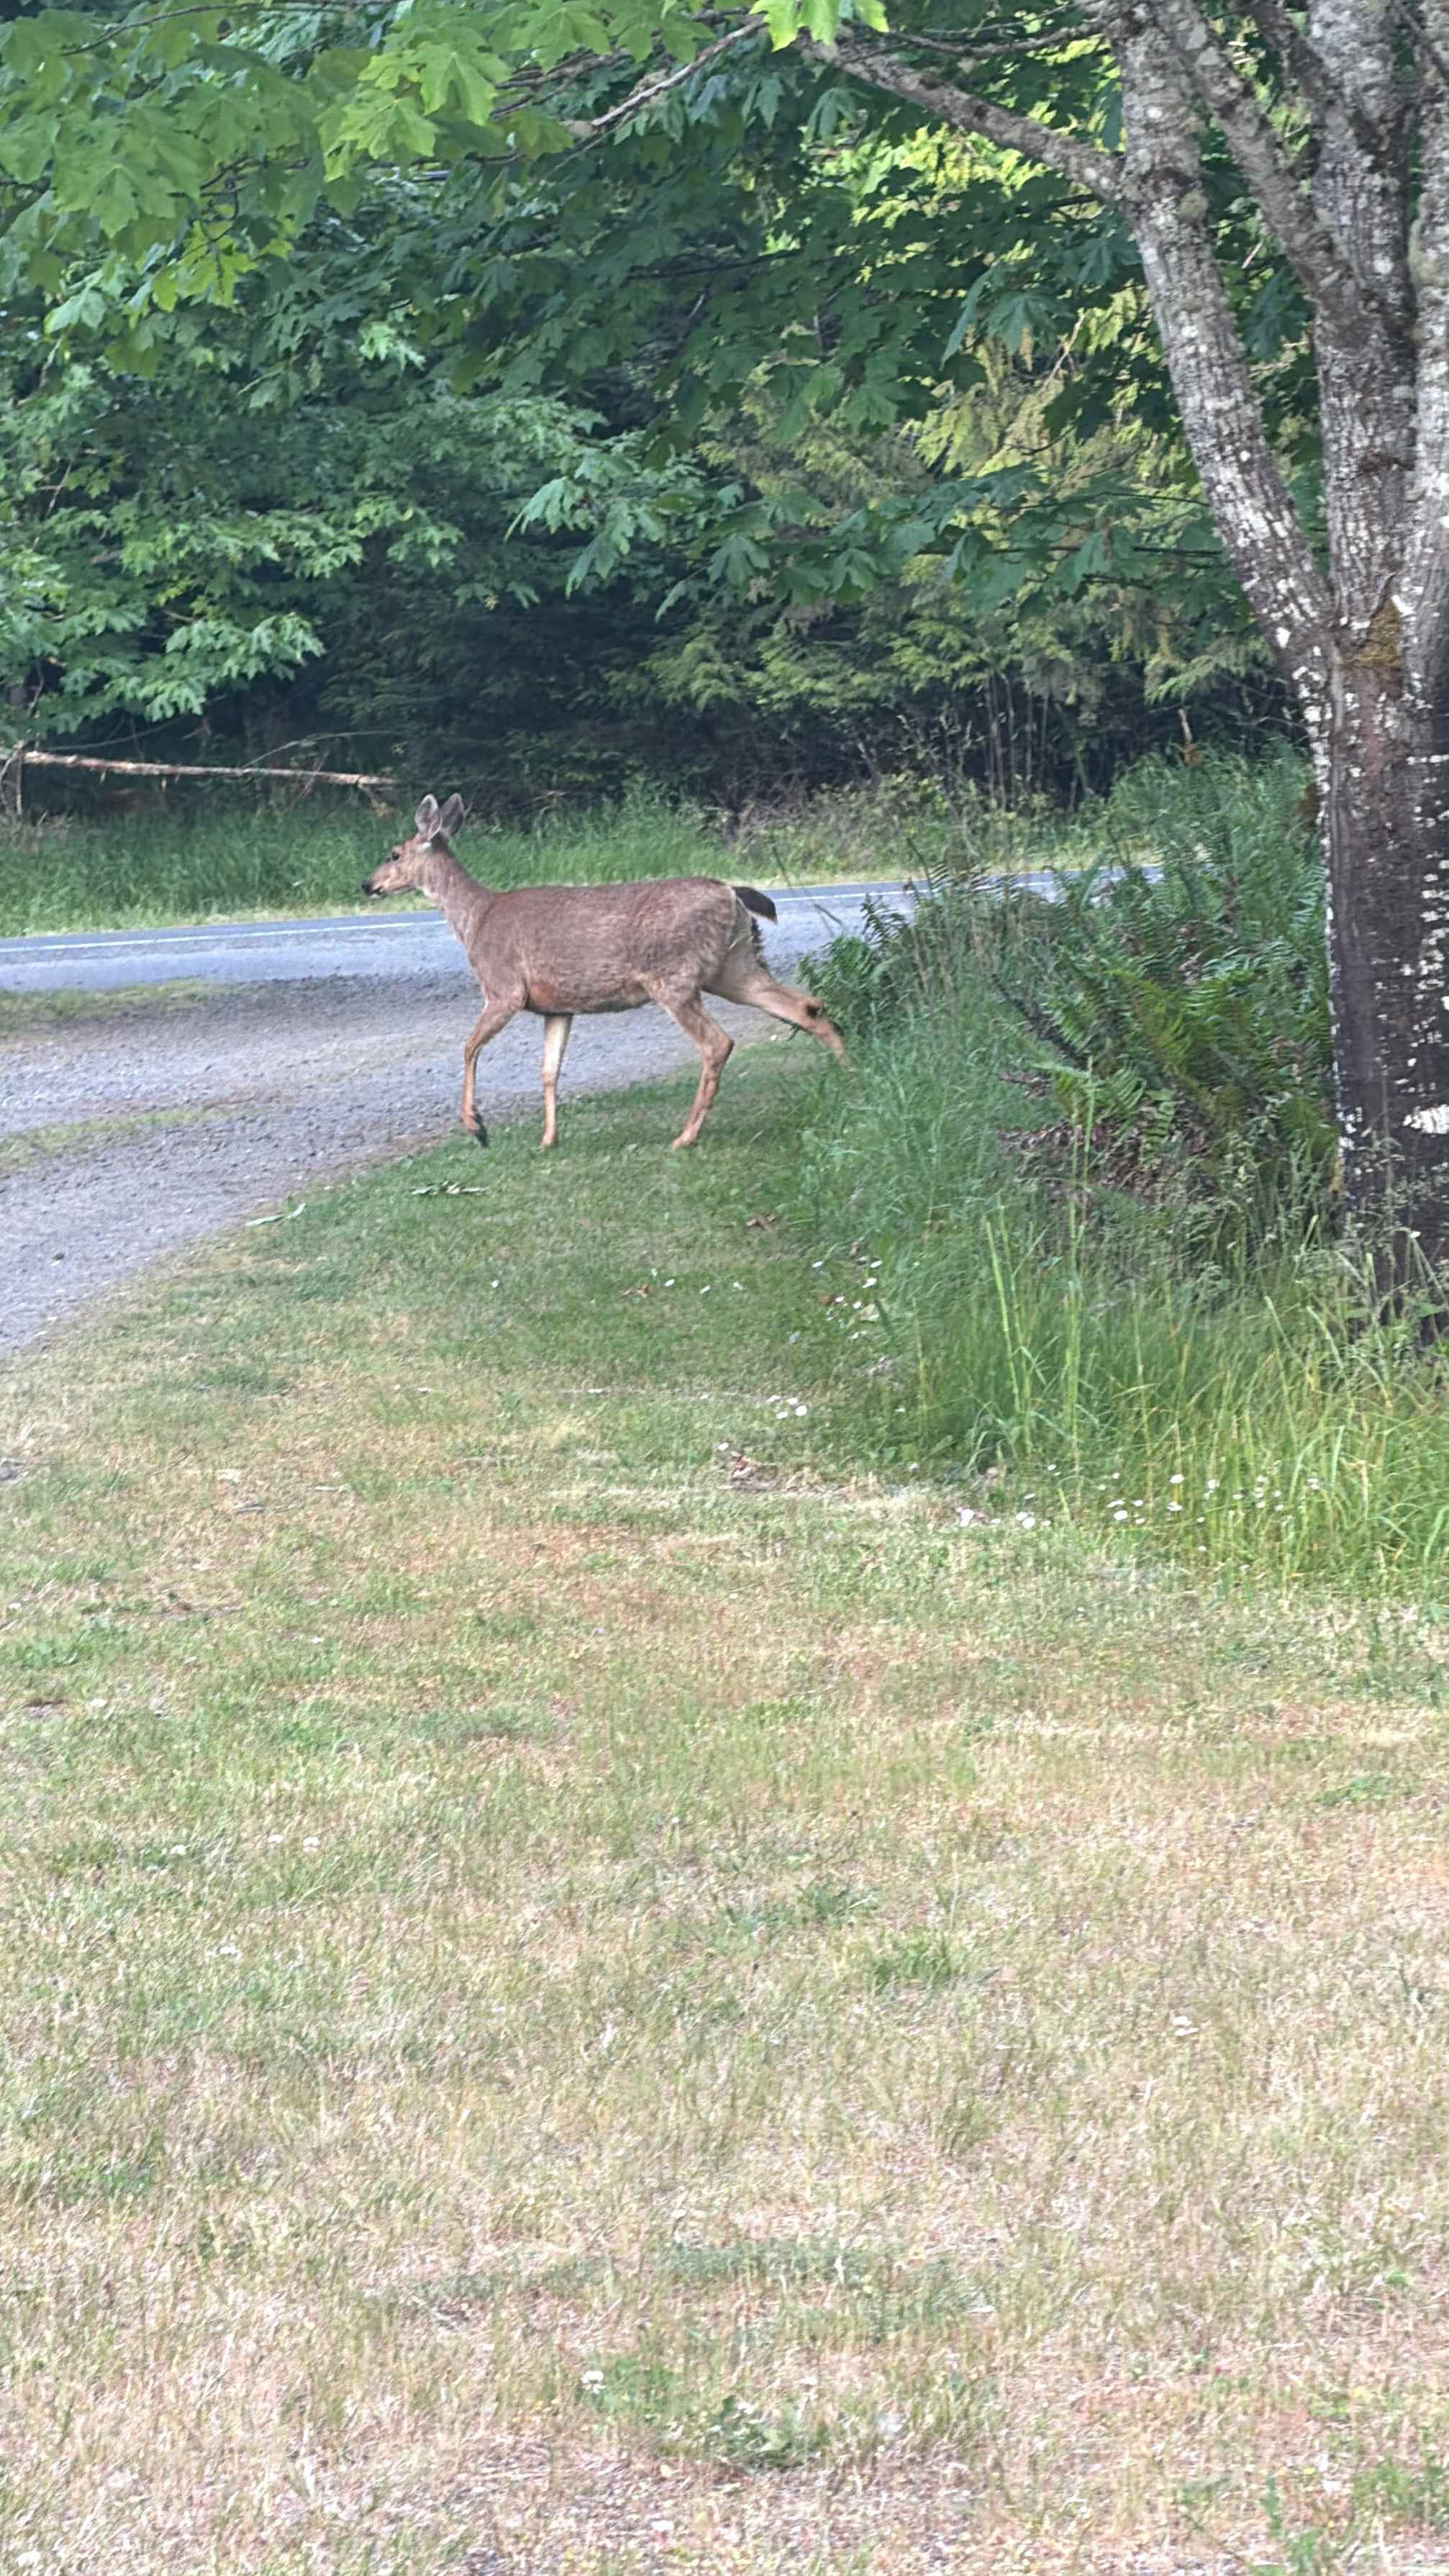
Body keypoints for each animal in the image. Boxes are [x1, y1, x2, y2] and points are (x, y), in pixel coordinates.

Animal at [360, 793, 847, 1151]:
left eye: (394, 853)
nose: (367, 884)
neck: (476, 919)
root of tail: (731, 891)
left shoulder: (504, 989)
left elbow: (467, 1047)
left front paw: (477, 1127)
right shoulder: (557, 1007)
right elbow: (549, 1071)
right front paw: (548, 1140)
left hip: (673, 975)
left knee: (718, 1042)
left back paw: (685, 1137)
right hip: (735, 966)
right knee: (806, 1005)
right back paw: (850, 1072)